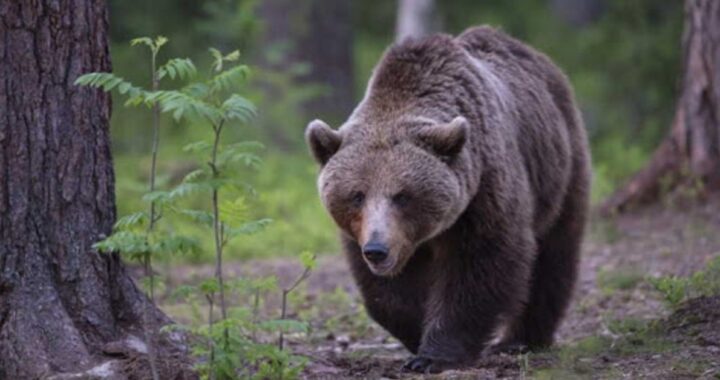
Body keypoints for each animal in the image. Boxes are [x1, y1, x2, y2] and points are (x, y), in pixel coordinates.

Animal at [304, 26, 592, 374]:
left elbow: (480, 266)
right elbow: (388, 293)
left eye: (403, 195)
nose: (377, 249)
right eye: (356, 195)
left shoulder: (482, 191)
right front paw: (416, 331)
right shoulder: (363, 234)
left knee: (553, 252)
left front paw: (433, 355)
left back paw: (521, 339)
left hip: (559, 167)